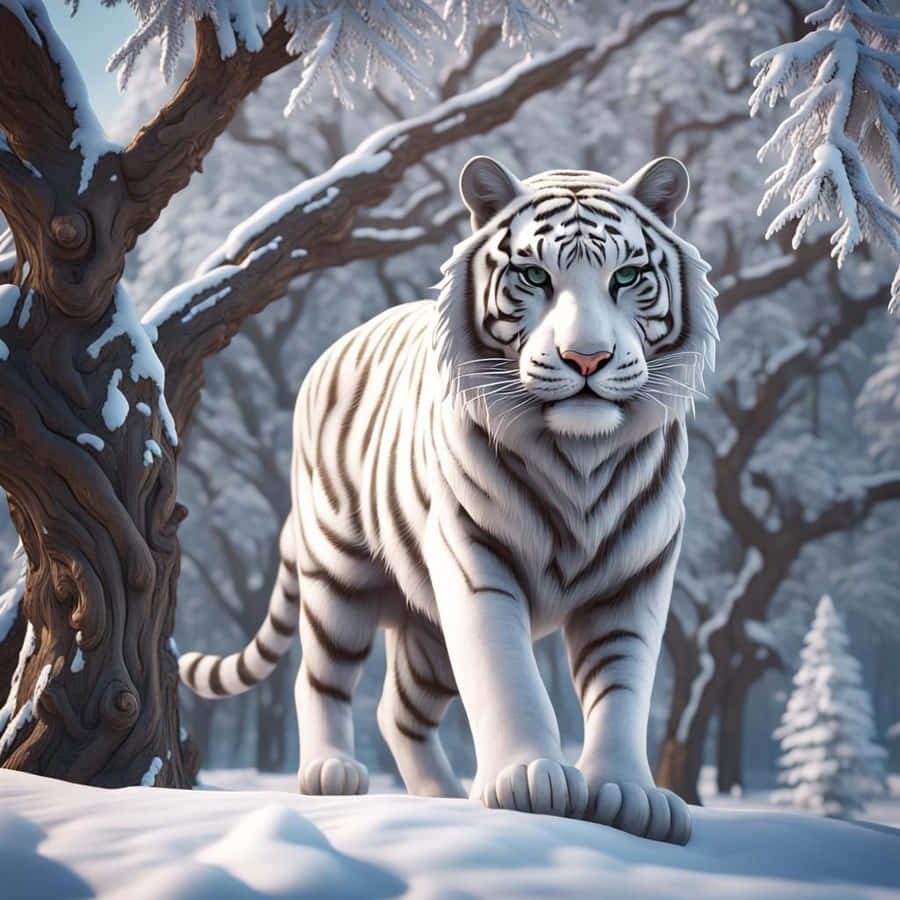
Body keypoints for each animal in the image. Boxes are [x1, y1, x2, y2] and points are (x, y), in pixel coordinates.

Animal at [180, 155, 717, 845]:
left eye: (627, 276)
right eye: (534, 275)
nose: (587, 358)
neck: (581, 460)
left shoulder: (636, 575)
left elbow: (623, 687)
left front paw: (629, 795)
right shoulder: (475, 558)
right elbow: (507, 674)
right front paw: (531, 781)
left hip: (427, 631)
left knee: (398, 710)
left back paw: (442, 797)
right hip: (338, 576)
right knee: (319, 676)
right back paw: (332, 772)